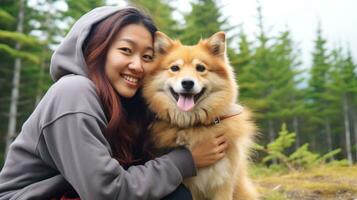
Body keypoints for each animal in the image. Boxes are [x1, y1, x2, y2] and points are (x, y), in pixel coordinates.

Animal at [142, 30, 258, 199]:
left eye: (200, 68)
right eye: (175, 68)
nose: (187, 83)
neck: (193, 124)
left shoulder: (223, 182)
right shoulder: (191, 186)